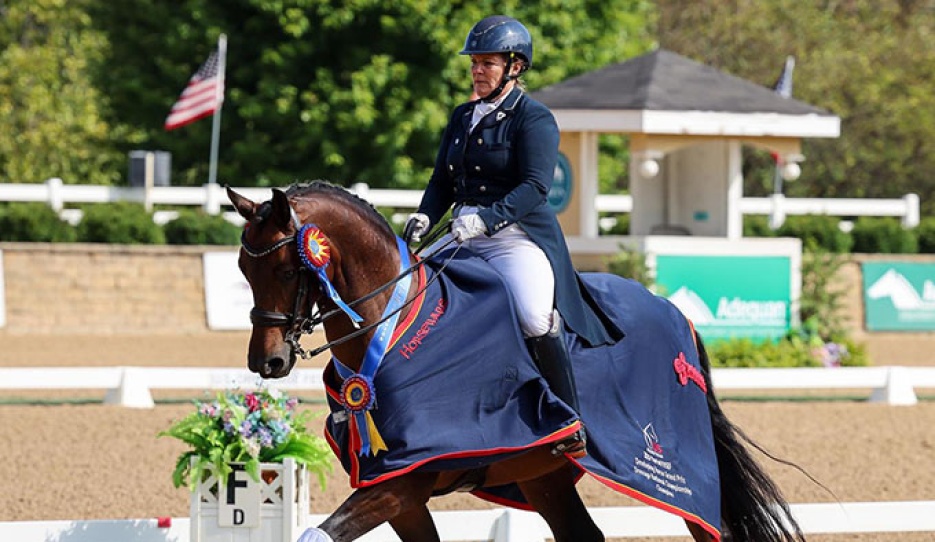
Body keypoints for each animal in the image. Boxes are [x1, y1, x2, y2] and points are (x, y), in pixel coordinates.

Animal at [227, 181, 806, 542]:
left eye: (285, 269)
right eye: (242, 269)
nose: (267, 361)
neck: (389, 330)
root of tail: (673, 311)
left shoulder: (404, 480)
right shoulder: (397, 487)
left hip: (678, 472)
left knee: (713, 524)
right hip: (541, 473)